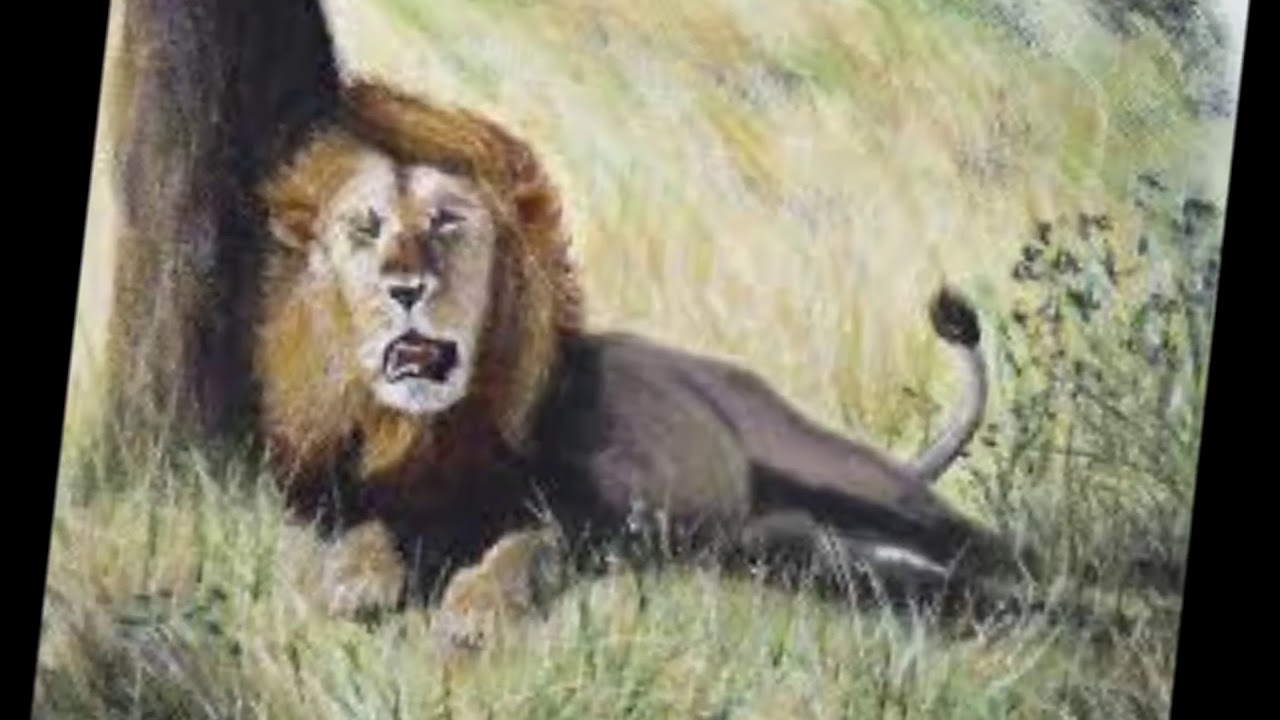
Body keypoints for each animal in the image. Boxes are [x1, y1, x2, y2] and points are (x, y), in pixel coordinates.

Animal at [254, 80, 1027, 653]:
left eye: (448, 221)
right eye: (366, 228)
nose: (405, 288)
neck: (435, 428)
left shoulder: (589, 517)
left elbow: (525, 547)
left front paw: (475, 607)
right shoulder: (352, 491)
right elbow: (367, 529)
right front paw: (355, 580)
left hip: (845, 474)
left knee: (978, 539)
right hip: (786, 536)